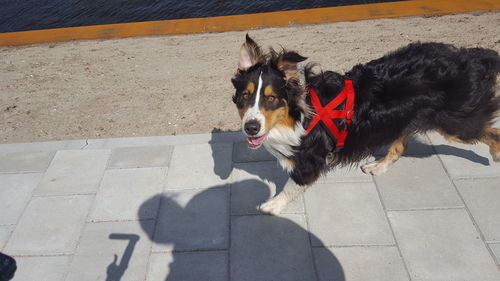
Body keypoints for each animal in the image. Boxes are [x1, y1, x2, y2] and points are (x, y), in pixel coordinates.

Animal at [231, 35, 500, 214]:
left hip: (457, 123)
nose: (251, 128)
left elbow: (291, 185)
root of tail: (471, 56)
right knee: (400, 147)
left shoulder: (310, 159)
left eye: (271, 98)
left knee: (493, 132)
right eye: (245, 96)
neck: (296, 114)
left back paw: (496, 155)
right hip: (403, 119)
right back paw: (377, 167)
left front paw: (272, 205)